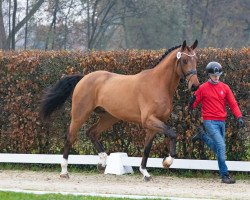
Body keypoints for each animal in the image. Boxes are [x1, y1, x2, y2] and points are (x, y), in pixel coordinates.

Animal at [40, 39, 199, 180]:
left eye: (196, 60)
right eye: (184, 60)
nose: (195, 86)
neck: (158, 84)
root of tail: (84, 78)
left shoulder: (153, 125)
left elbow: (147, 148)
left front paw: (145, 173)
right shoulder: (149, 120)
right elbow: (172, 133)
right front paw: (167, 161)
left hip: (109, 117)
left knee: (92, 132)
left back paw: (102, 162)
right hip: (80, 114)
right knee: (70, 138)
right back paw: (64, 171)